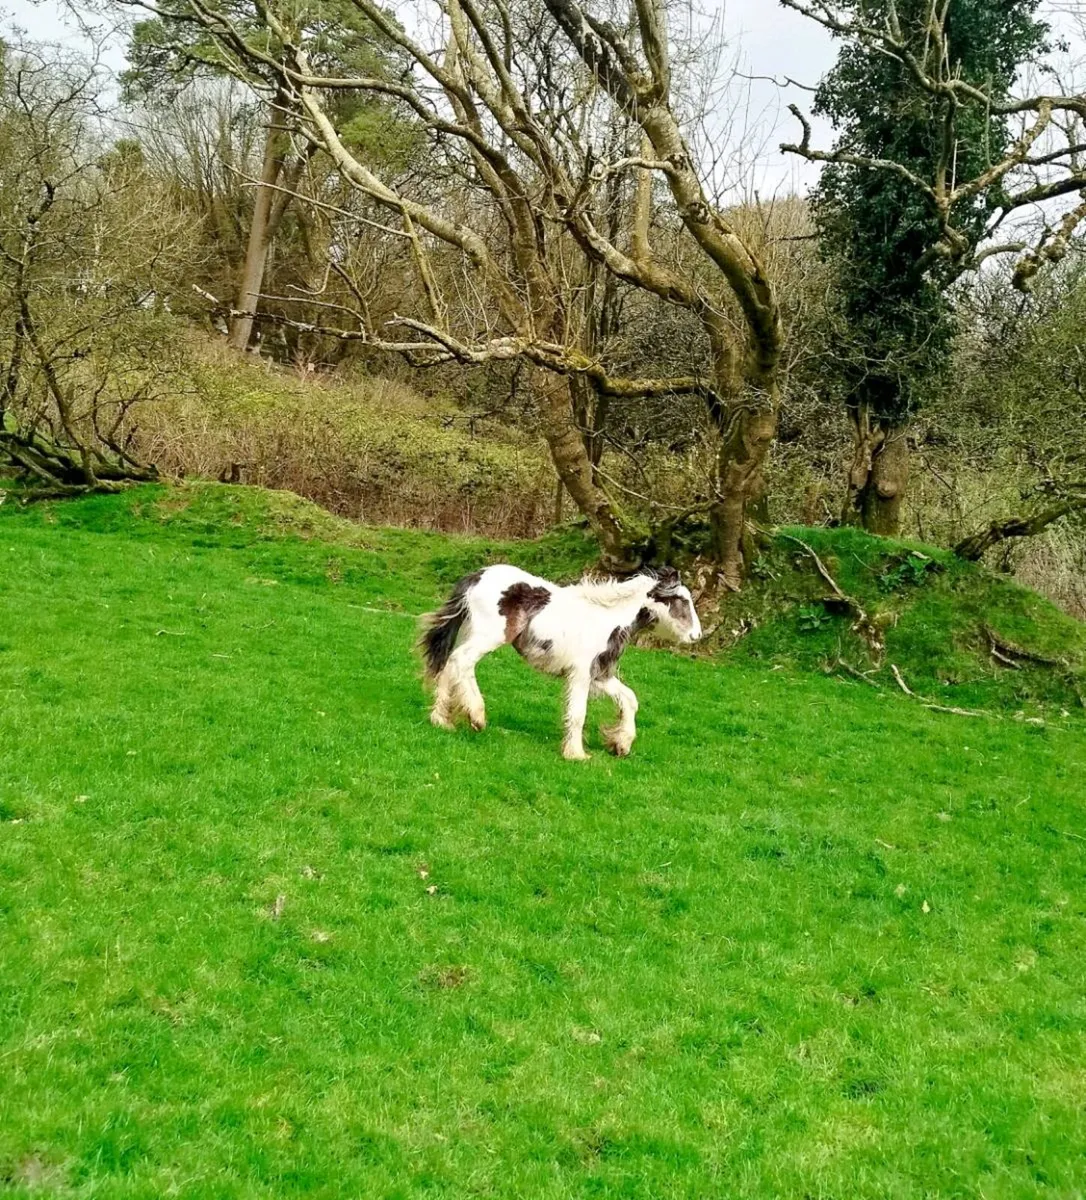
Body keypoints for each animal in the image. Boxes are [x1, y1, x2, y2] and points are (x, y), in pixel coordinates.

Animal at [419, 565, 701, 760]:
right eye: (681, 600)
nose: (696, 636)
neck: (608, 619)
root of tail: (478, 575)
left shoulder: (600, 676)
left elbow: (629, 699)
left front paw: (621, 744)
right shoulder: (581, 674)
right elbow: (578, 713)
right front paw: (576, 754)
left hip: (471, 633)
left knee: (449, 665)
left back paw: (442, 721)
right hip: (488, 637)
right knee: (461, 661)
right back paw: (477, 716)